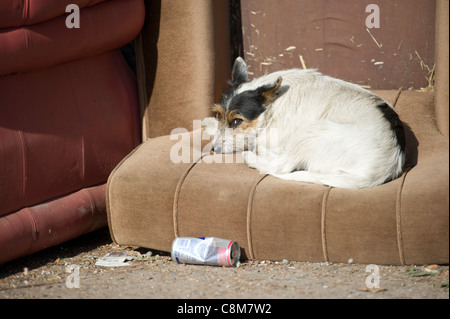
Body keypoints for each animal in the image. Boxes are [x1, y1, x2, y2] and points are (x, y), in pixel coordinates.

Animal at [202, 57, 406, 189]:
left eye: (237, 121)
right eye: (219, 115)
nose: (213, 149)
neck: (274, 105)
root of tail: (382, 168)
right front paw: (209, 123)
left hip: (312, 132)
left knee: (281, 165)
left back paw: (252, 156)